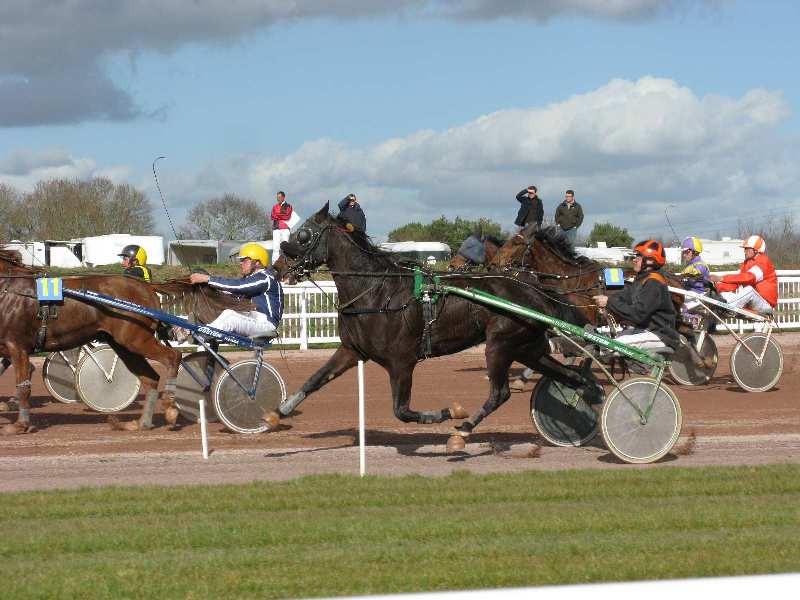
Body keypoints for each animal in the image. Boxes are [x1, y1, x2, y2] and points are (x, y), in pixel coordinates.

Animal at [0, 246, 181, 434]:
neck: (7, 289)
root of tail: (146, 287)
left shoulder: (17, 345)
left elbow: (23, 386)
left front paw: (20, 424)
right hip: (123, 346)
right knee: (151, 378)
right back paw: (141, 423)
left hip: (135, 339)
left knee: (173, 356)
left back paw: (170, 408)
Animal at [268, 204, 600, 448]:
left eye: (304, 235)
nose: (278, 266)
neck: (376, 291)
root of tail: (535, 290)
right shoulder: (352, 351)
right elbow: (314, 380)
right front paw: (277, 412)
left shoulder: (401, 361)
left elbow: (402, 411)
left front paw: (448, 412)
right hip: (527, 347)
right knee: (570, 376)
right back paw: (591, 396)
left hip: (500, 344)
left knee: (500, 393)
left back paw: (463, 430)